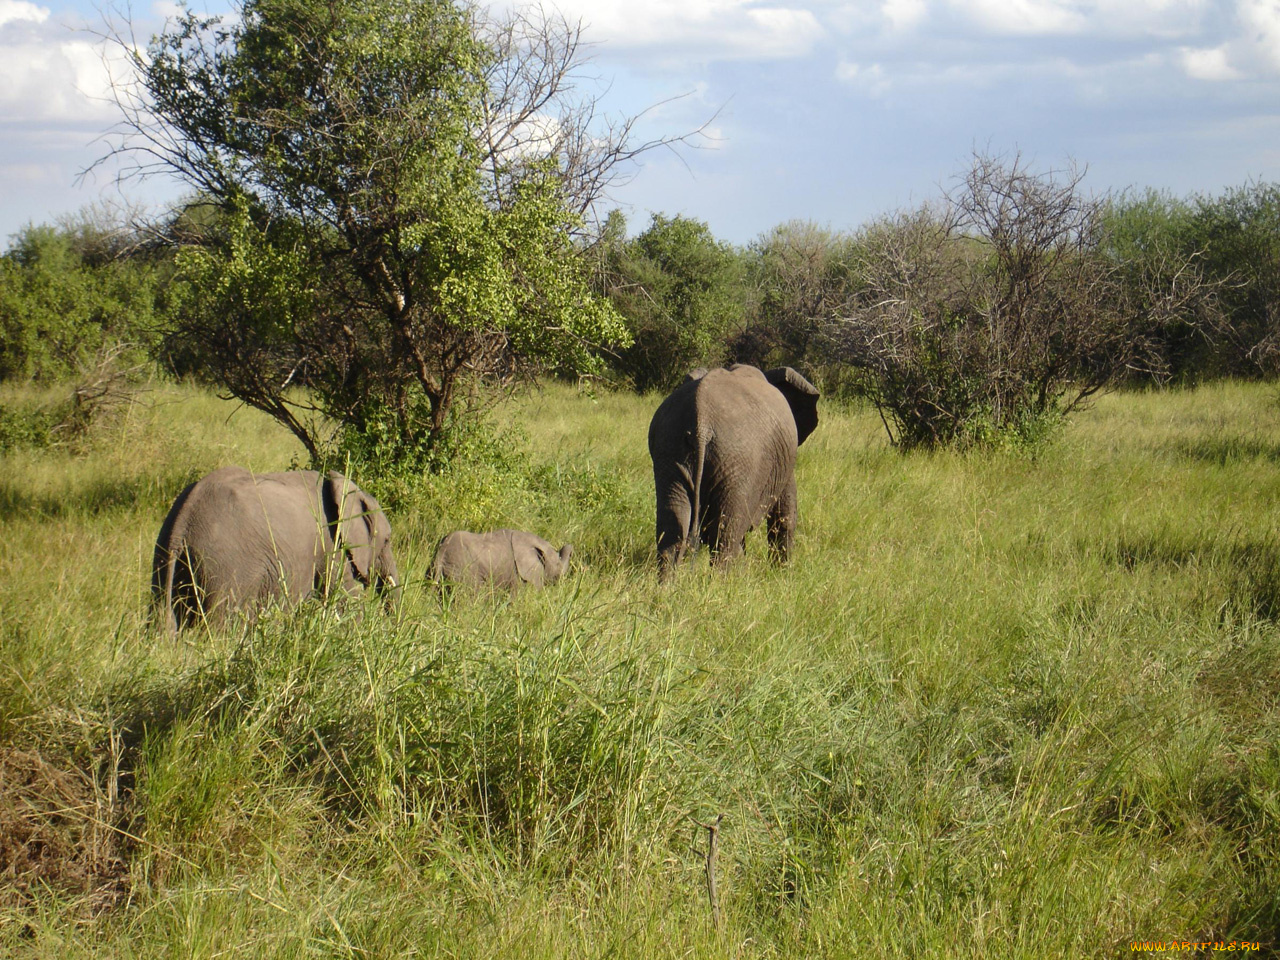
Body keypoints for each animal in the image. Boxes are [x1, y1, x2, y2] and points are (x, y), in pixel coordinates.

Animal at [151, 463, 396, 632]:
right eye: (386, 541)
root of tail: (183, 520)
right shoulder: (331, 547)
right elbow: (346, 603)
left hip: (167, 561)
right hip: (225, 570)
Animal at [650, 366, 819, 578]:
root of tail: (701, 423)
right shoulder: (786, 460)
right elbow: (785, 514)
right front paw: (781, 575)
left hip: (669, 448)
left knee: (673, 522)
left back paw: (667, 585)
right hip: (739, 461)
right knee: (726, 531)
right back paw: (722, 583)